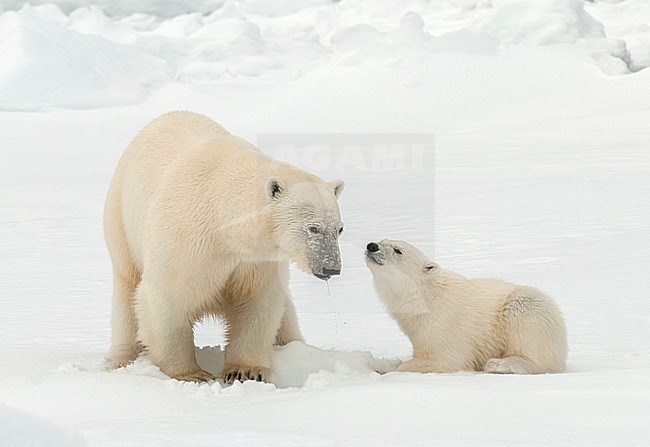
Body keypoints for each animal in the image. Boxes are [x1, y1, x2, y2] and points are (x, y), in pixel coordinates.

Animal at [104, 110, 344, 384]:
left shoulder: (254, 260)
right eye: (313, 228)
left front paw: (246, 371)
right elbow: (168, 298)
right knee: (127, 291)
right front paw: (192, 374)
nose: (332, 267)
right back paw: (123, 359)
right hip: (122, 224)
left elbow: (256, 301)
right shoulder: (186, 241)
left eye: (339, 229)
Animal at [368, 242, 564, 374]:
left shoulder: (444, 324)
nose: (372, 245)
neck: (424, 299)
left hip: (527, 306)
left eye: (397, 249)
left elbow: (445, 360)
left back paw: (498, 364)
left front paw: (385, 370)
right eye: (383, 239)